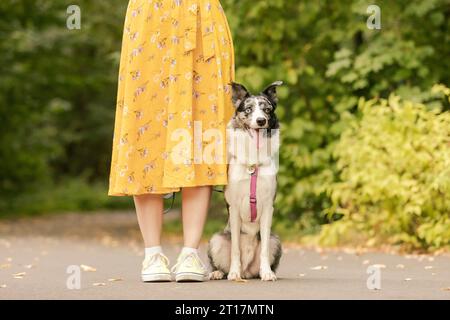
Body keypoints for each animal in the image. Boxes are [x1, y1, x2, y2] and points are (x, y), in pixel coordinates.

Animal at [207, 81, 282, 282]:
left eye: (267, 109)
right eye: (248, 109)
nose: (261, 121)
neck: (253, 163)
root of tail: (248, 271)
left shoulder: (268, 207)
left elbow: (264, 249)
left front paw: (267, 272)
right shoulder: (233, 207)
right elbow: (235, 249)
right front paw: (234, 272)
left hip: (276, 240)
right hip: (216, 239)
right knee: (220, 264)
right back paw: (218, 272)